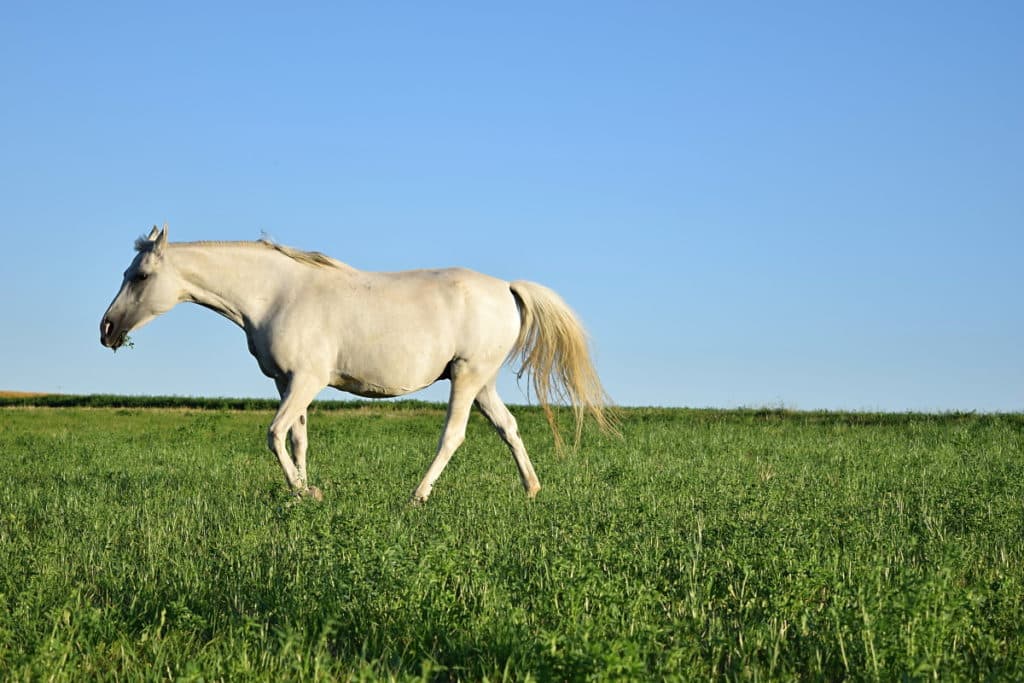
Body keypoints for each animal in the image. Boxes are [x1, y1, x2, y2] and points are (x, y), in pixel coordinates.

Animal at [101, 227, 614, 499]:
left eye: (140, 276)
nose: (107, 329)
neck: (277, 294)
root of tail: (507, 287)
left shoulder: (306, 382)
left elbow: (273, 434)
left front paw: (303, 491)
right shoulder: (288, 384)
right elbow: (298, 439)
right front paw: (304, 494)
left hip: (467, 377)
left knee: (453, 436)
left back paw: (417, 497)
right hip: (481, 381)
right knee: (508, 427)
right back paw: (531, 490)